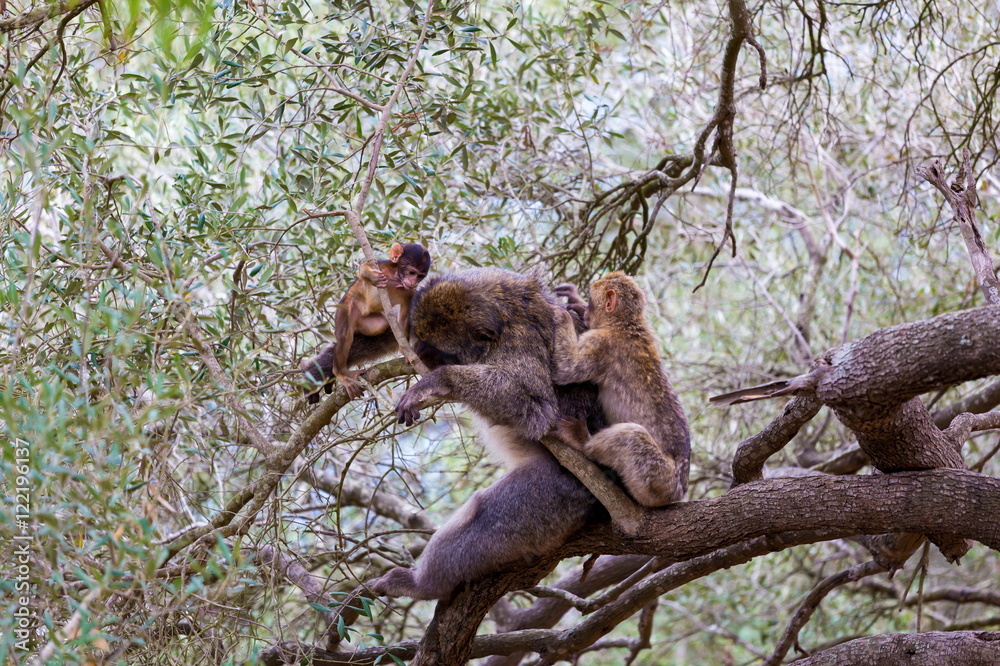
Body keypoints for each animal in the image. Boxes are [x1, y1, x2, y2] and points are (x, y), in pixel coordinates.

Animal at [300, 242, 431, 402]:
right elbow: (363, 267)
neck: (396, 279)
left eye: (420, 276)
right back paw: (340, 372)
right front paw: (372, 277)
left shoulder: (410, 292)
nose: (413, 281)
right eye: (412, 272)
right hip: (346, 309)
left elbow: (405, 316)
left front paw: (405, 350)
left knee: (380, 324)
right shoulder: (382, 266)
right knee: (345, 336)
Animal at [548, 273, 690, 508]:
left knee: (632, 436)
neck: (625, 324)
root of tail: (679, 492)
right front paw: (575, 301)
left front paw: (560, 314)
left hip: (657, 480)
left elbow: (565, 370)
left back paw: (582, 441)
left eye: (592, 301)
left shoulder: (601, 343)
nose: (586, 311)